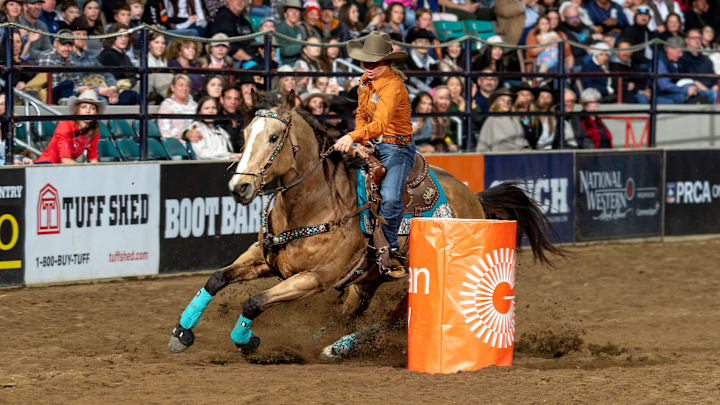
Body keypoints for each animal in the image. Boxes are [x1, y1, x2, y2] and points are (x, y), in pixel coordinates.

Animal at [167, 90, 562, 355]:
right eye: (247, 134)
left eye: (274, 137)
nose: (240, 187)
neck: (314, 206)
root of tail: (474, 199)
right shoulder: (263, 258)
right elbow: (216, 279)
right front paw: (182, 333)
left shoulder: (314, 279)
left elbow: (253, 302)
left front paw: (247, 341)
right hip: (368, 279)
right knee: (353, 311)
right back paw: (326, 339)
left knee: (394, 319)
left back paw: (336, 347)